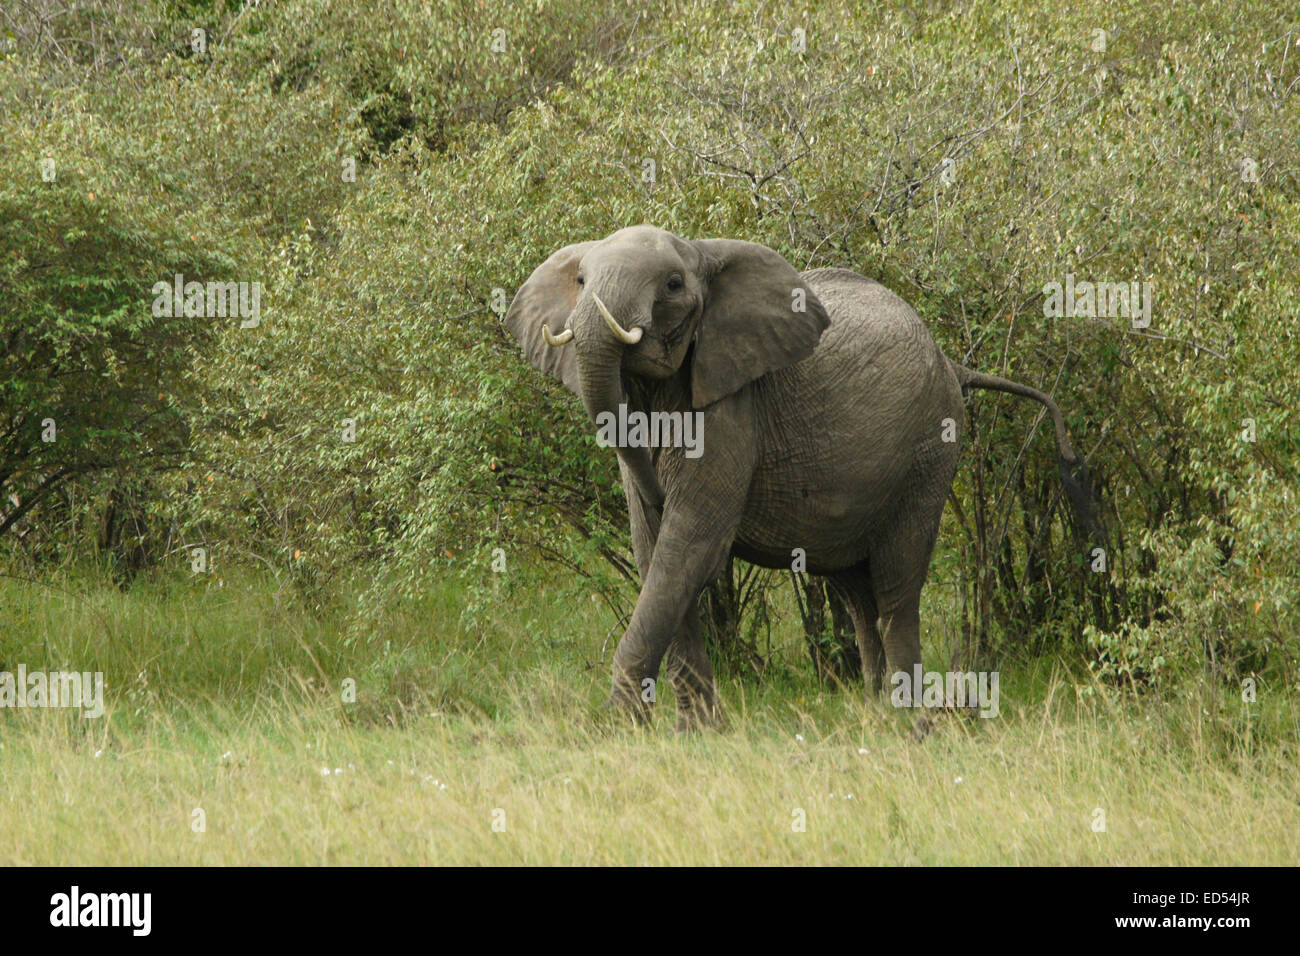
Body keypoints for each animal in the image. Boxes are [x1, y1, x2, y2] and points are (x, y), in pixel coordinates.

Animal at [501, 226, 1092, 733]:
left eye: (672, 285)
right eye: (580, 282)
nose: (654, 482)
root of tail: (954, 364)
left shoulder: (735, 404)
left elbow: (691, 542)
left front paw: (617, 727)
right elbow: (654, 552)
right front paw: (696, 732)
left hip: (929, 451)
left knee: (897, 586)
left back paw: (911, 722)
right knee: (857, 593)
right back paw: (876, 710)